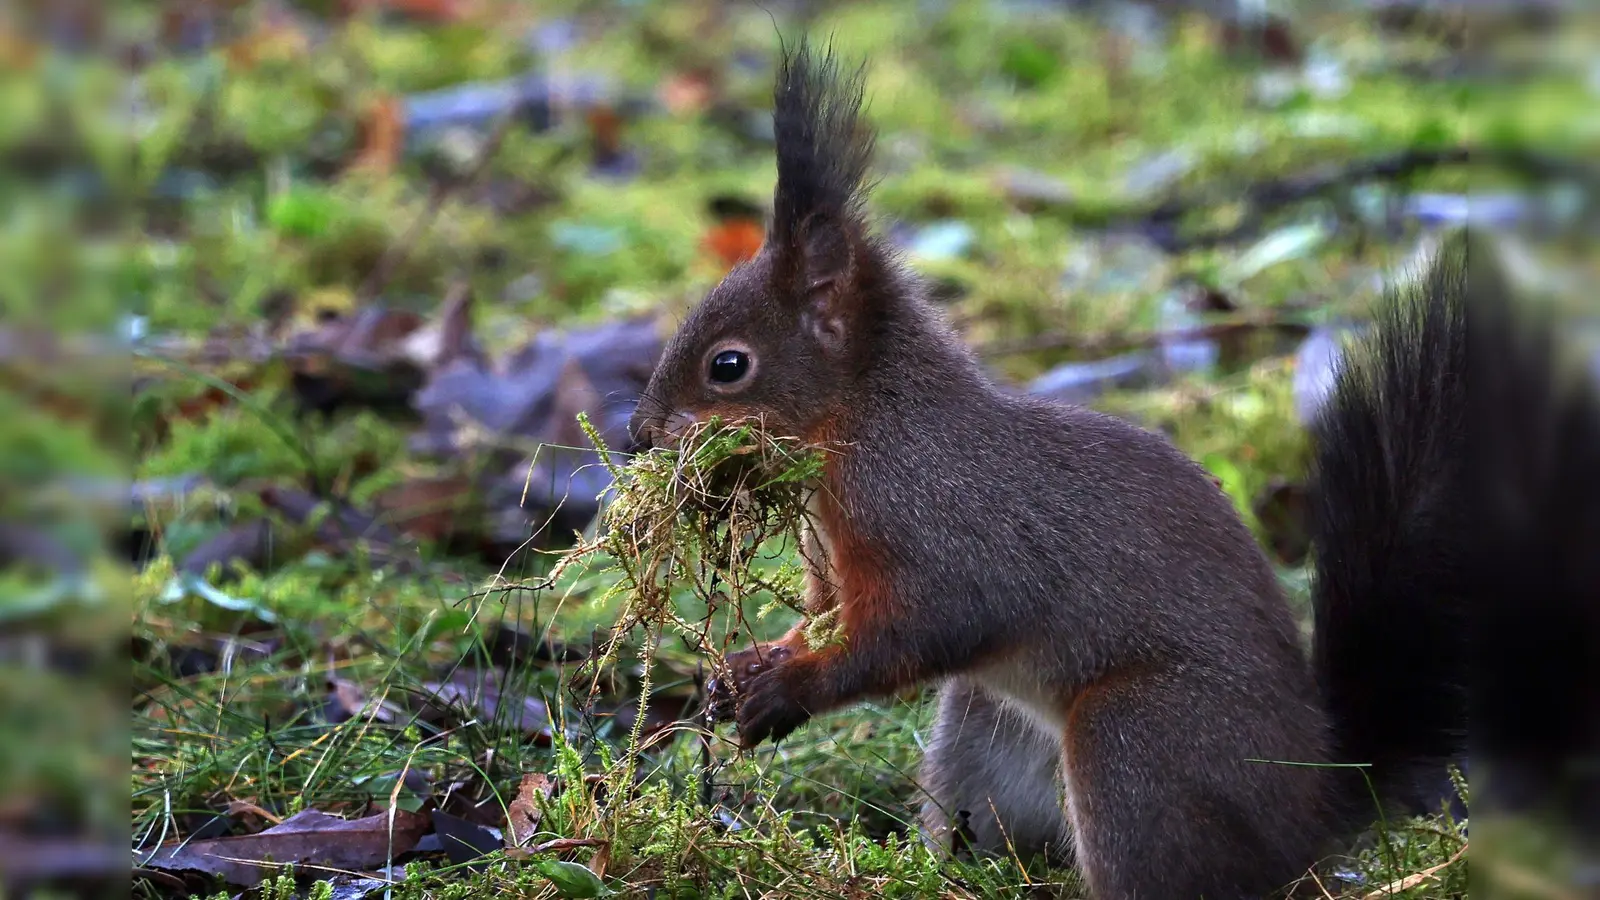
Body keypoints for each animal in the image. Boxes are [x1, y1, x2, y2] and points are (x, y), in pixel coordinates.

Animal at [624, 42, 1465, 896]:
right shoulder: (832, 563)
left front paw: (787, 691)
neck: (865, 429)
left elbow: (924, 627)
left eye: (728, 366)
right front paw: (741, 669)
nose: (639, 432)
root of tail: (1315, 809)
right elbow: (823, 617)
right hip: (981, 731)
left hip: (1136, 745)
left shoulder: (941, 527)